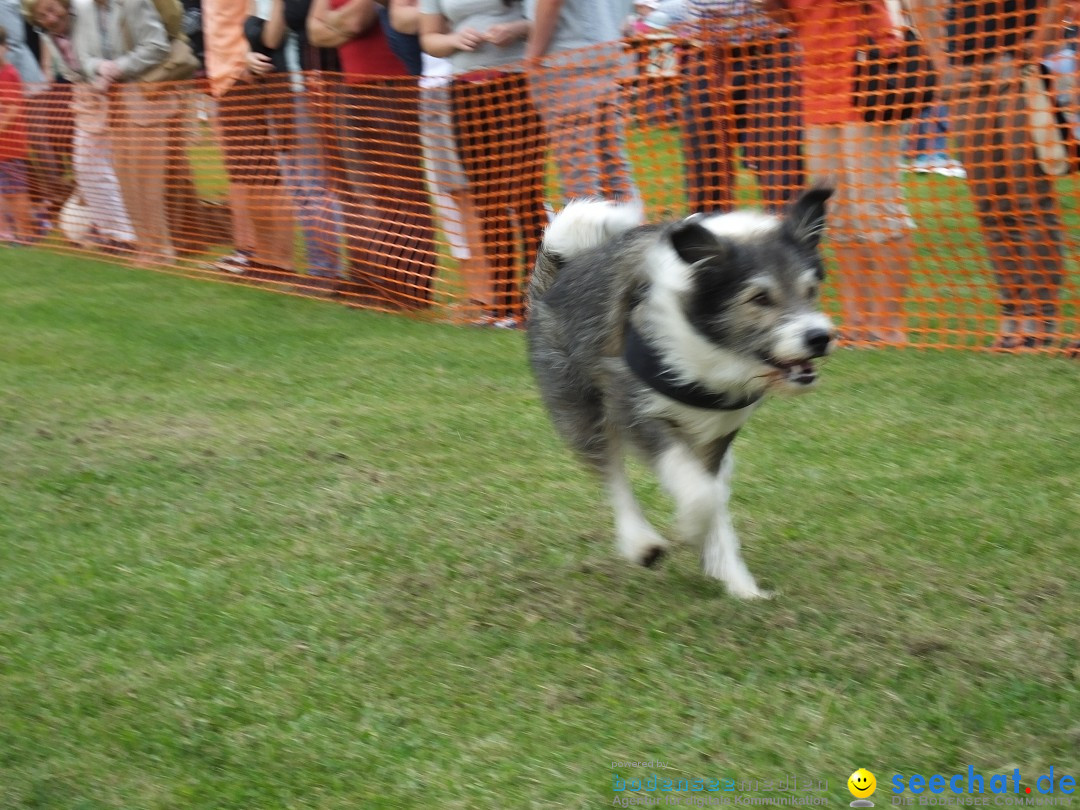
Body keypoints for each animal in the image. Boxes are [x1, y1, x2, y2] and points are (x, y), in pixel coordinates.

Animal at [527, 186, 838, 600]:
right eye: (759, 297)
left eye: (810, 289)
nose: (819, 337)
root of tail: (563, 267)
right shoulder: (632, 404)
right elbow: (698, 493)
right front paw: (690, 529)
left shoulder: (719, 430)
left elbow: (710, 492)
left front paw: (729, 572)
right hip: (579, 405)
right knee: (612, 473)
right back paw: (641, 543)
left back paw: (737, 581)